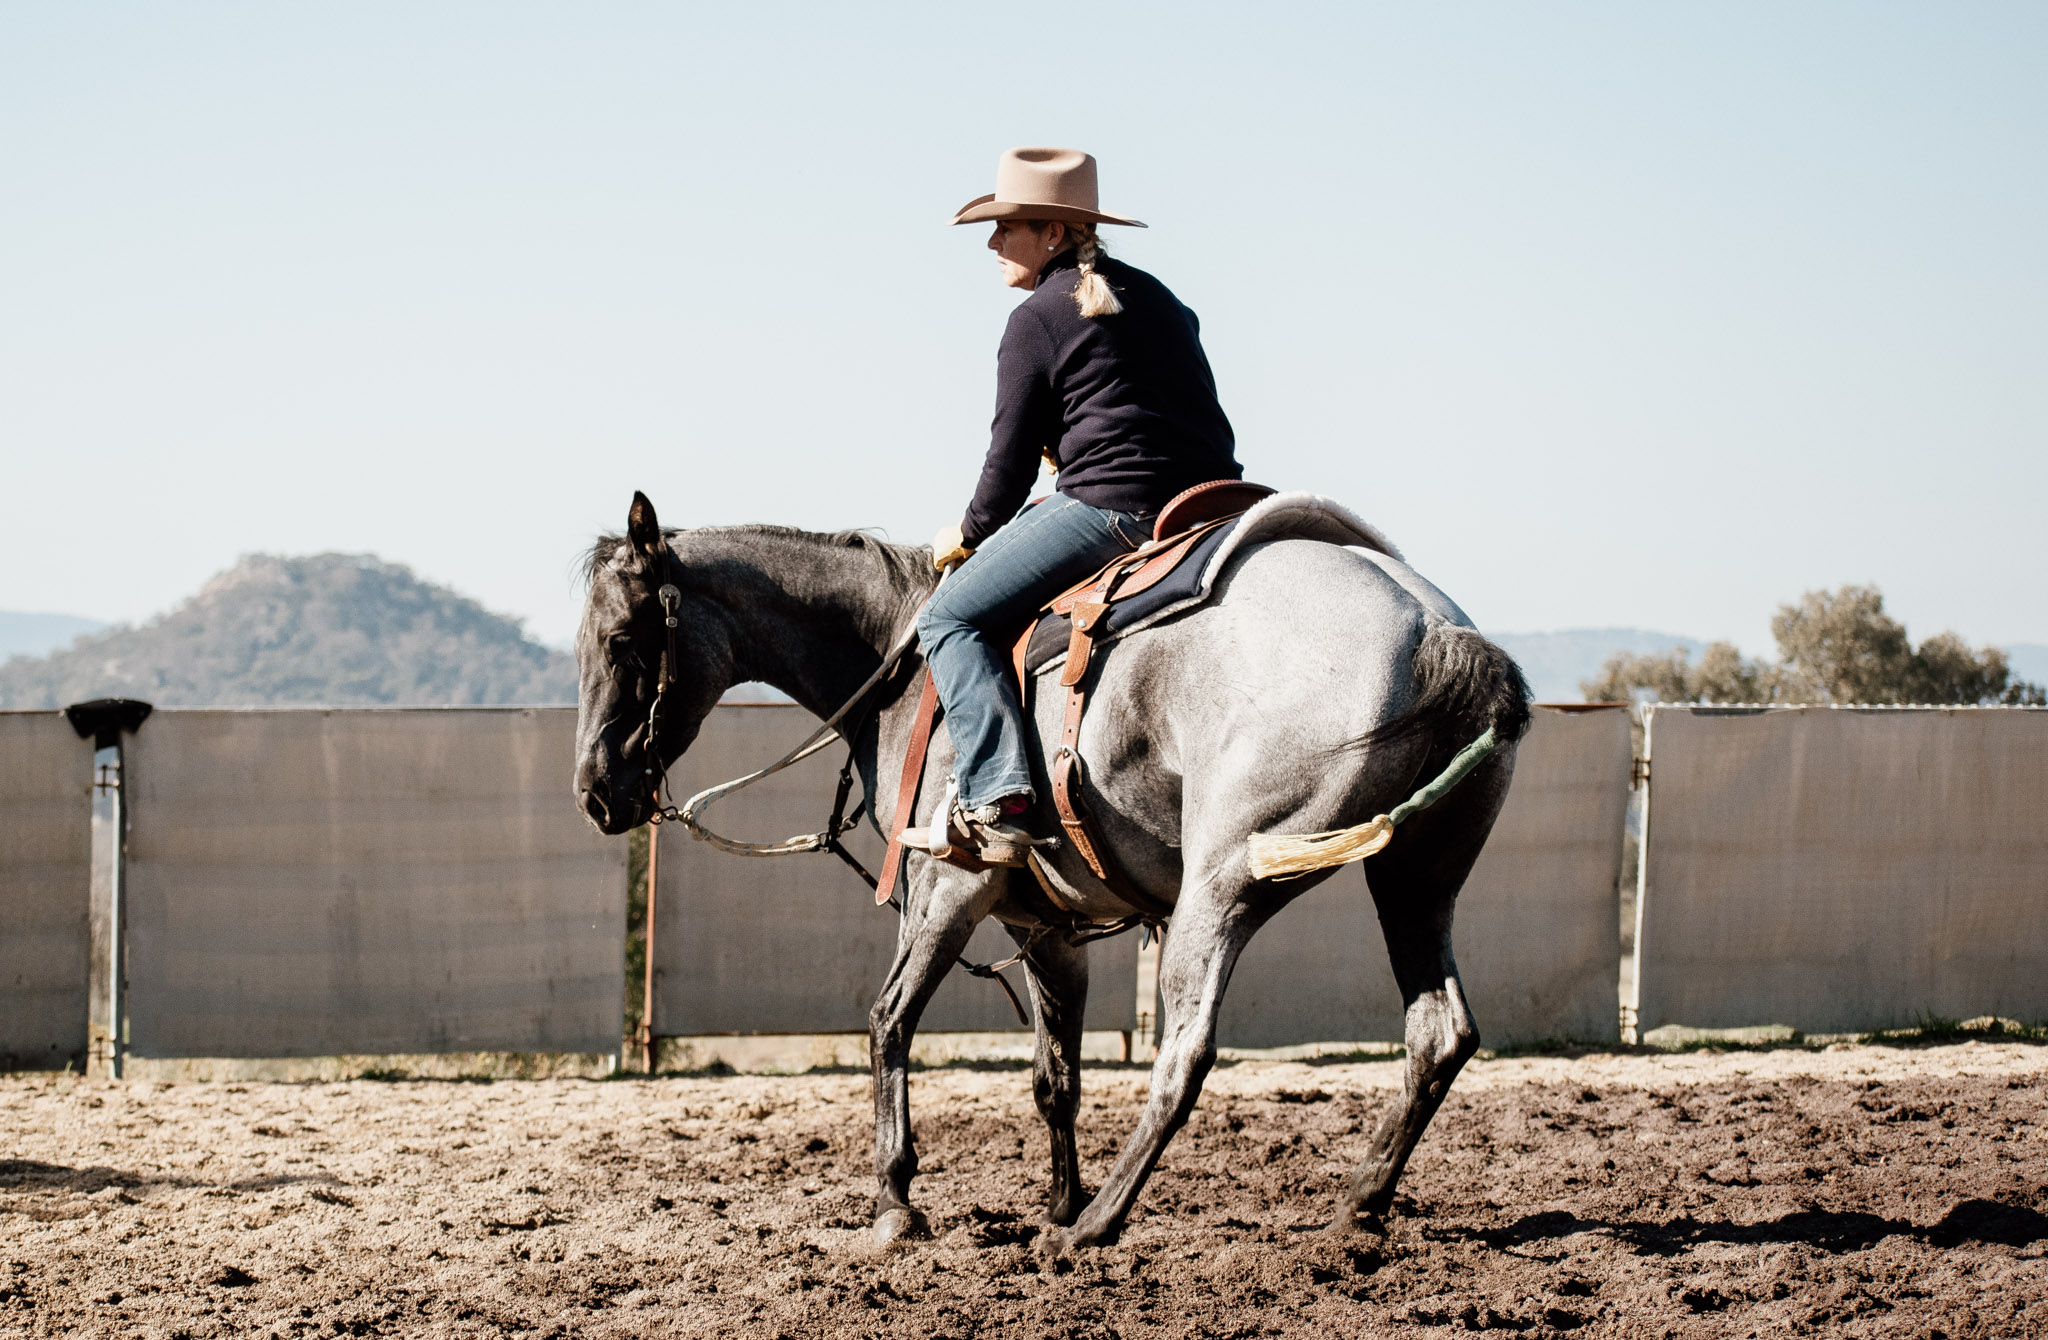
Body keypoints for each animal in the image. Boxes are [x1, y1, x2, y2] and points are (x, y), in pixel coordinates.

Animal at [573, 490, 1529, 1252]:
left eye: (622, 642)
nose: (593, 792)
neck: (903, 664)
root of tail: (1438, 632)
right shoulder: (1045, 924)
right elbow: (1052, 1077)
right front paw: (1054, 1200)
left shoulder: (948, 889)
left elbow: (888, 1022)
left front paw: (897, 1200)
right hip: (1416, 878)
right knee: (1439, 1033)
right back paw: (1354, 1203)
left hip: (1226, 885)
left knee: (1185, 1055)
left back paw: (1099, 1226)